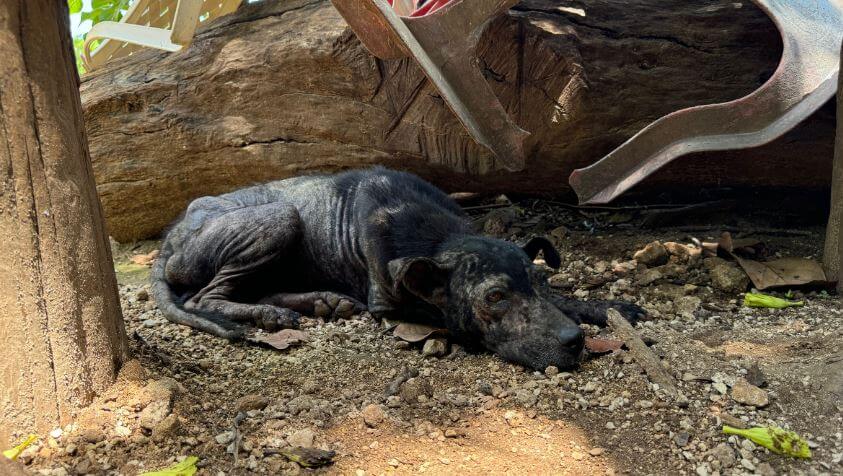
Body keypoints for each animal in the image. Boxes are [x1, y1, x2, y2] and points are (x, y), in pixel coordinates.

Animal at [151, 168, 644, 370]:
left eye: (540, 280)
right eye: (494, 298)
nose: (575, 341)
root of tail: (171, 233)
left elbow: (566, 298)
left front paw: (607, 306)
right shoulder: (387, 303)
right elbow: (436, 310)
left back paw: (316, 301)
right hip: (279, 218)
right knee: (207, 297)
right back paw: (269, 313)